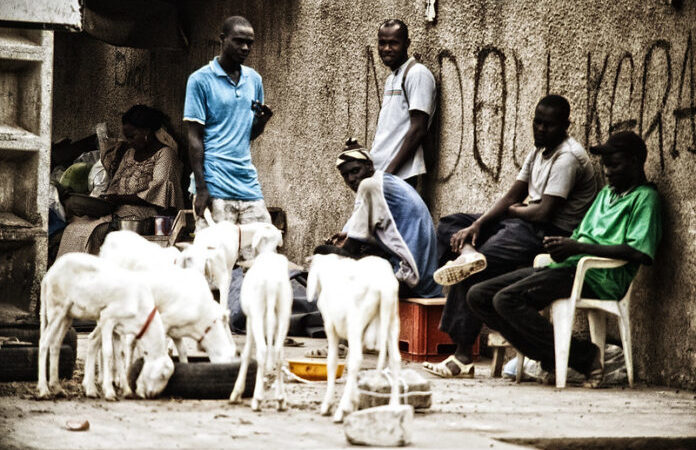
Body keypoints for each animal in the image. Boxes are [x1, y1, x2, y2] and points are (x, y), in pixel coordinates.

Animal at [230, 230, 290, 410]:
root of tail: (271, 285)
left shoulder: (249, 320)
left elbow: (247, 353)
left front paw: (237, 393)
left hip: (257, 314)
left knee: (262, 351)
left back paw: (257, 399)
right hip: (283, 314)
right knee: (279, 353)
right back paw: (280, 399)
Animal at [306, 255, 400, 424]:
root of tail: (385, 286)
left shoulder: (330, 327)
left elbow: (332, 362)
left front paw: (329, 405)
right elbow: (348, 364)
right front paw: (354, 402)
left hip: (356, 322)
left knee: (357, 359)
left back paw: (340, 411)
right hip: (392, 321)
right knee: (395, 359)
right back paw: (394, 406)